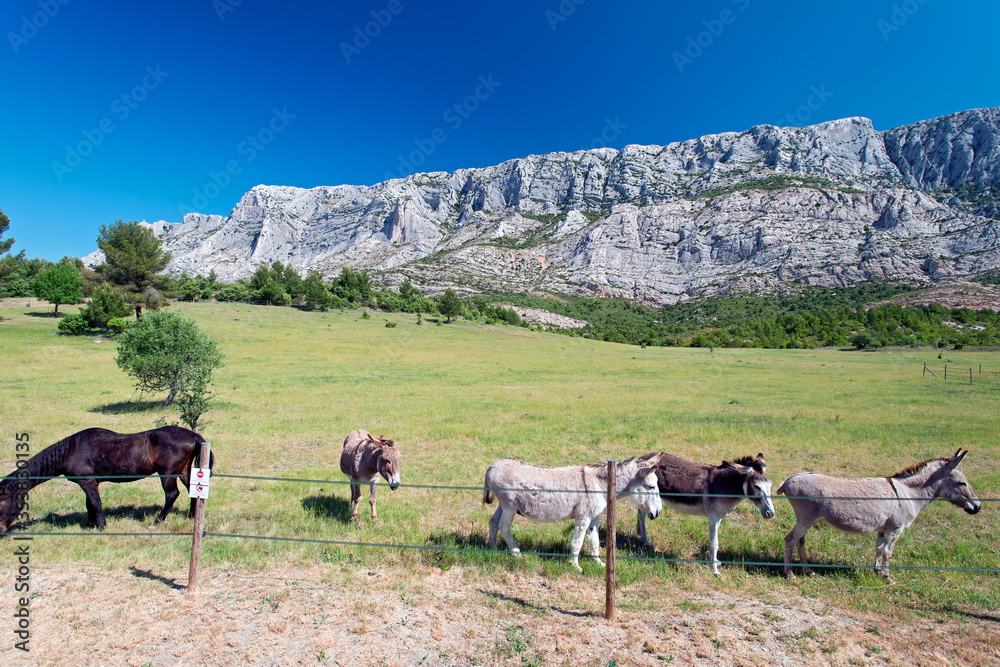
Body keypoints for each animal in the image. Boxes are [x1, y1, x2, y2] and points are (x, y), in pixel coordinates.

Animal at [0, 428, 213, 532]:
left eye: (1, 502)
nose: (1, 529)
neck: (70, 450)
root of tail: (193, 434)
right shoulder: (90, 482)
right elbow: (89, 504)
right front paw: (89, 524)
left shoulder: (87, 482)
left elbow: (95, 503)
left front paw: (100, 525)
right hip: (183, 471)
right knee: (192, 490)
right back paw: (192, 516)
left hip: (167, 473)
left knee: (171, 494)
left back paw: (156, 522)